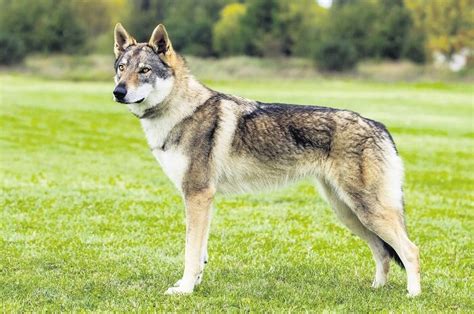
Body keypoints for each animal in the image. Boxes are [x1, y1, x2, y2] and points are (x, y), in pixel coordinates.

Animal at [112, 23, 422, 296]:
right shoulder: (202, 199)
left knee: (410, 250)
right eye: (121, 69)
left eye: (144, 70)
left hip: (367, 211)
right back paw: (376, 289)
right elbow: (200, 253)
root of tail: (380, 126)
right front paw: (192, 284)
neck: (180, 112)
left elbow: (191, 252)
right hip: (349, 213)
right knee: (383, 252)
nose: (118, 92)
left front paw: (185, 290)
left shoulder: (197, 195)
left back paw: (413, 294)